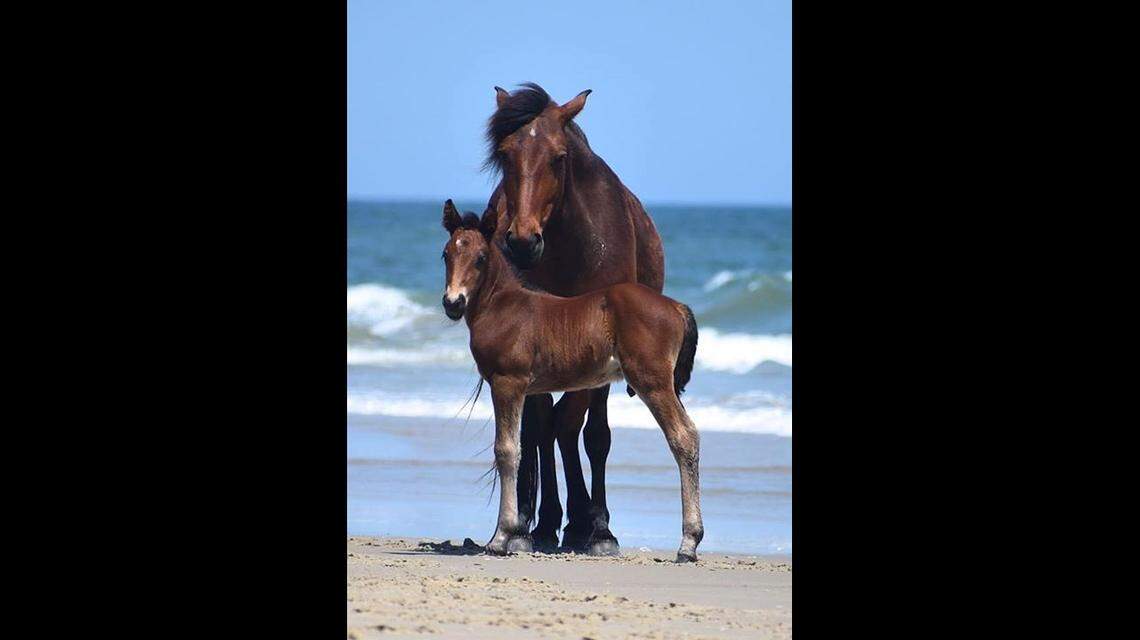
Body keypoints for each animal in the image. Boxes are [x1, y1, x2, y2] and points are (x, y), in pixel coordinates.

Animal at [440, 200, 703, 562]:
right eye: (446, 254)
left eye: (480, 257)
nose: (453, 303)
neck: (503, 306)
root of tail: (676, 307)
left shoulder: (508, 382)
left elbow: (506, 450)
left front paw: (500, 538)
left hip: (653, 380)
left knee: (683, 436)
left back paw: (688, 543)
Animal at [482, 83, 666, 555]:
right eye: (505, 154)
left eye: (559, 157)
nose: (522, 241)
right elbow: (540, 428)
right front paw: (531, 524)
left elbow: (590, 433)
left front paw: (597, 529)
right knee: (546, 428)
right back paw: (546, 523)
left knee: (573, 428)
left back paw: (582, 523)